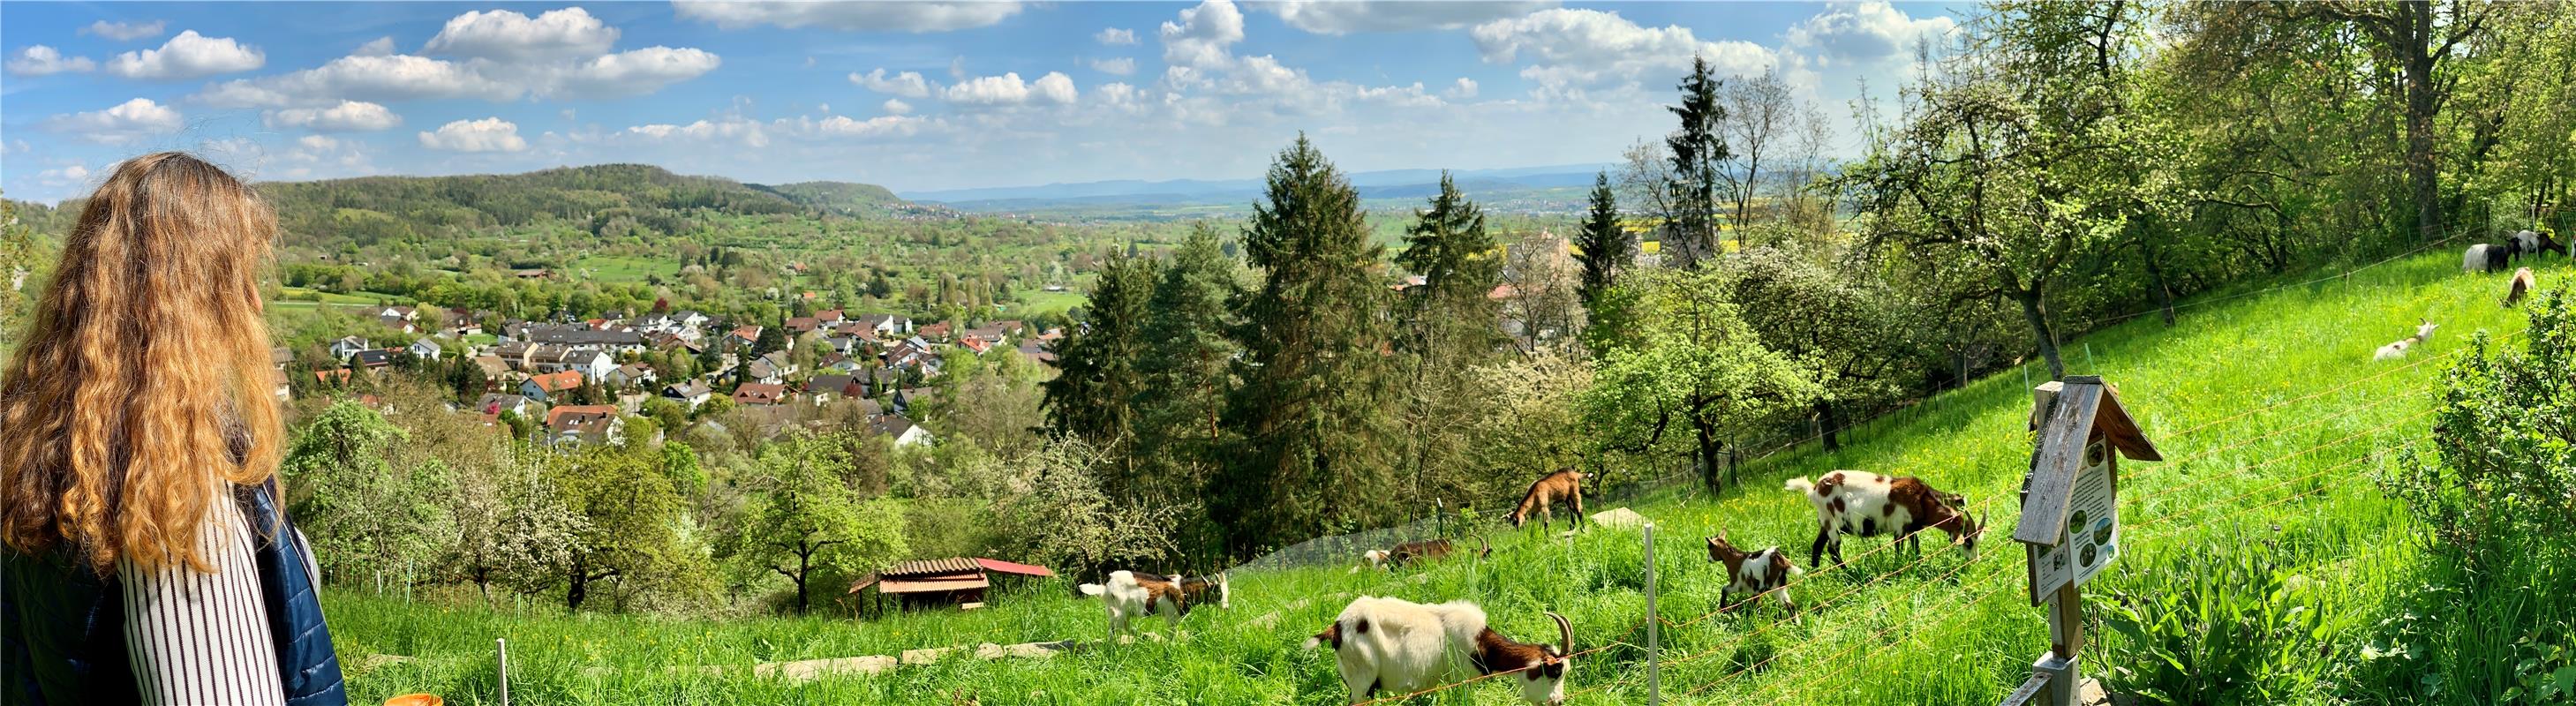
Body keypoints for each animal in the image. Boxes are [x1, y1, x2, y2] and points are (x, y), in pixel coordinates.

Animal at [1071, 567, 1221, 639]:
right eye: (1218, 593)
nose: (1224, 607)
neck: (1183, 589)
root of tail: (1106, 588)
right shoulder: (1172, 616)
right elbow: (1171, 633)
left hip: (1123, 612)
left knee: (1123, 626)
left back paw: (1144, 637)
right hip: (1118, 611)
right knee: (1113, 631)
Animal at [1308, 595, 1566, 706]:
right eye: (1554, 673)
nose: (1558, 702)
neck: (1480, 642)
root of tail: (1337, 627)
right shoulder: (1461, 679)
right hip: (1362, 678)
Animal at [1782, 471, 1978, 572]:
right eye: (1968, 542)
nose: (1974, 561)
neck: (1920, 499)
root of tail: (1814, 489)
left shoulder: (1911, 528)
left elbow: (1916, 547)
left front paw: (1920, 563)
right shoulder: (1899, 526)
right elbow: (1898, 548)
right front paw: (1900, 567)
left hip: (1824, 522)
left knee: (1817, 546)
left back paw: (1815, 573)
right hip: (1834, 522)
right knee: (1833, 549)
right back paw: (1850, 573)